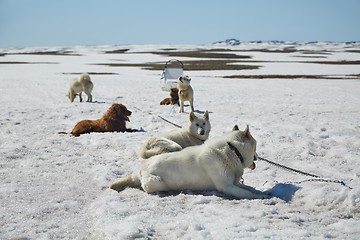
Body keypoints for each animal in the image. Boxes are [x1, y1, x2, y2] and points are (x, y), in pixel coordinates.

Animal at [111, 124, 272, 200]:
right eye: (256, 146)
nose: (258, 156)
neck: (232, 150)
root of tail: (139, 170)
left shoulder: (234, 182)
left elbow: (249, 188)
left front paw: (261, 192)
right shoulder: (227, 186)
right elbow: (247, 193)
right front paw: (261, 197)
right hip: (155, 182)